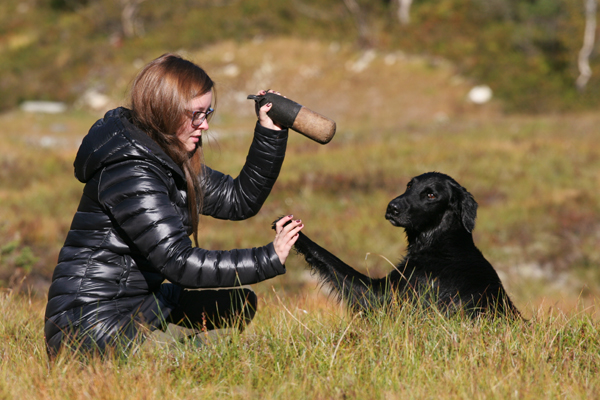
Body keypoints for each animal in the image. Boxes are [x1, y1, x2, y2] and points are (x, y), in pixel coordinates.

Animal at [282, 172, 520, 318]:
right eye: (409, 185)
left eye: (430, 194)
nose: (392, 207)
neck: (441, 244)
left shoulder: (384, 294)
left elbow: (331, 260)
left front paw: (292, 231)